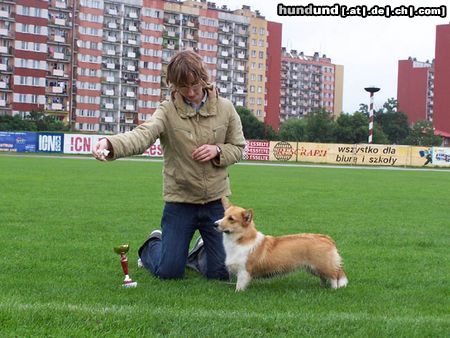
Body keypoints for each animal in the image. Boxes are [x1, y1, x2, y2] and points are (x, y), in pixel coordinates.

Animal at [214, 198, 348, 290]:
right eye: (224, 215)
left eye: (231, 219)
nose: (214, 224)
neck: (241, 239)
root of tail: (327, 238)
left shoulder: (244, 270)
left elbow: (240, 285)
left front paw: (237, 292)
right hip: (314, 268)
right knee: (324, 277)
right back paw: (321, 287)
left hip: (323, 265)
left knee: (334, 277)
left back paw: (334, 289)